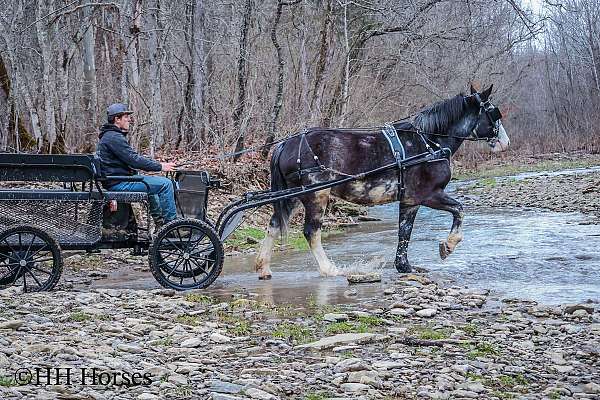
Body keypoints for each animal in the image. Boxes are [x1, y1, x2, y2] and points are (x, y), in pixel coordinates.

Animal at [254, 85, 510, 280]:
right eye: (494, 113)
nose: (505, 142)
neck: (430, 142)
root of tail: (285, 144)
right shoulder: (427, 195)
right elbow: (458, 210)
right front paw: (447, 246)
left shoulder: (409, 200)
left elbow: (404, 232)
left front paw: (404, 266)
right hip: (317, 195)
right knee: (311, 231)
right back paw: (329, 269)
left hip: (293, 196)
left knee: (274, 225)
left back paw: (263, 267)